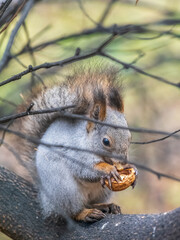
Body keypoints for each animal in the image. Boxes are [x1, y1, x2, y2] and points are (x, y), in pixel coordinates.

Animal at [10, 66, 133, 223]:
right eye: (106, 142)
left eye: (130, 137)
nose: (123, 163)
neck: (87, 141)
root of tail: (46, 200)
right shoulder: (75, 153)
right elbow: (84, 170)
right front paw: (108, 170)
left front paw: (132, 168)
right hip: (65, 190)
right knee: (72, 211)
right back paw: (86, 213)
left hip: (102, 192)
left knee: (90, 202)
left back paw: (105, 206)